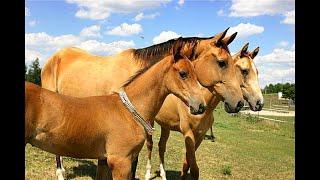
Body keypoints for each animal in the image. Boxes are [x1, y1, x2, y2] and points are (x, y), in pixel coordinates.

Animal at [142, 43, 262, 179]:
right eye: (244, 71)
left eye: (257, 72)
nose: (259, 103)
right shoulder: (188, 133)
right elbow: (194, 169)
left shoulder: (199, 136)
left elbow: (187, 163)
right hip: (149, 123)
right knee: (150, 144)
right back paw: (148, 173)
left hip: (165, 126)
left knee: (161, 146)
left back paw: (163, 174)